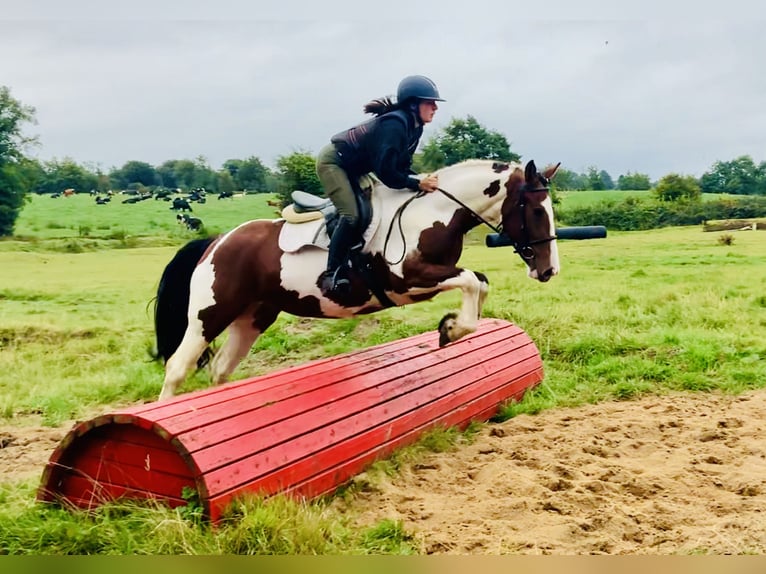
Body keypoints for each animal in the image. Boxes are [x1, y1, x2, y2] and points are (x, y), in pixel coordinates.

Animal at [153, 158, 560, 400]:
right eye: (536, 211)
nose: (548, 270)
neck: (433, 213)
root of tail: (217, 241)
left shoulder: (427, 281)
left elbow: (479, 281)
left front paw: (453, 327)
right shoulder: (407, 281)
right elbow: (473, 281)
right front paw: (450, 329)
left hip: (253, 315)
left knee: (220, 369)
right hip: (210, 313)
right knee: (177, 368)